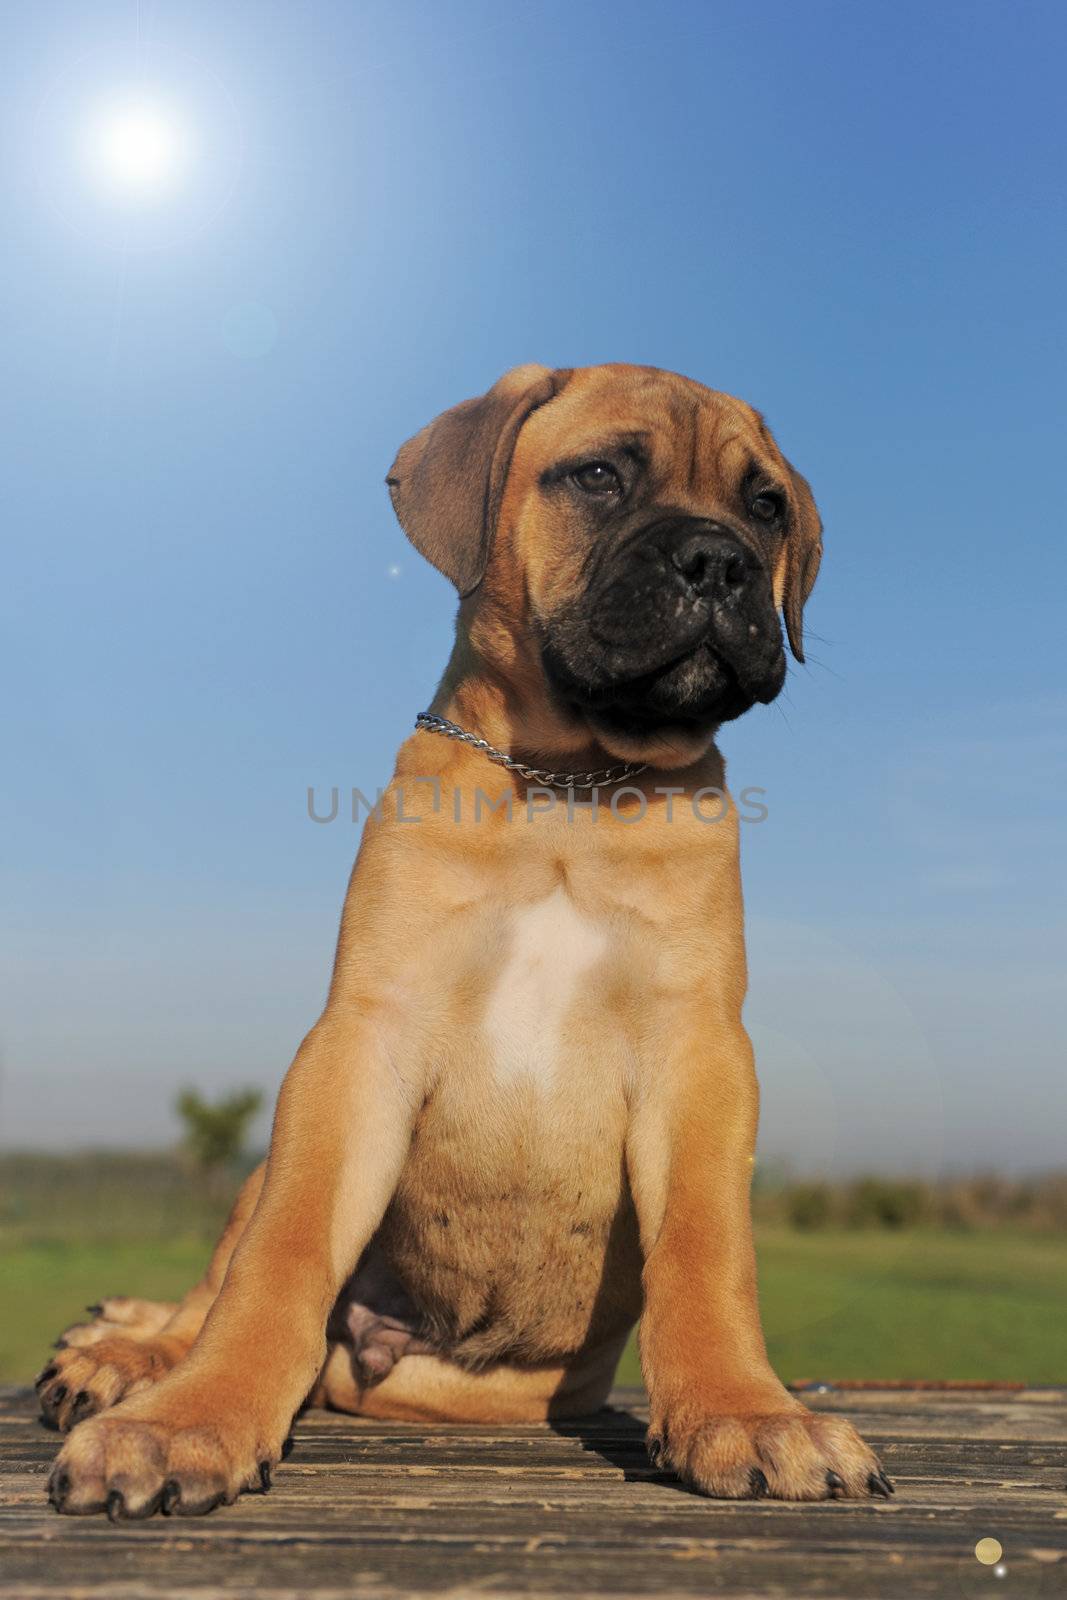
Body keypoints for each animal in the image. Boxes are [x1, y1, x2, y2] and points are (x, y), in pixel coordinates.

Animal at [39, 360, 895, 1510]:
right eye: (597, 475)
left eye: (764, 506)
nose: (718, 561)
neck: (570, 783)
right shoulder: (359, 1039)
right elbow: (280, 1254)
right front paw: (188, 1420)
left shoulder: (701, 1052)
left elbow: (706, 1248)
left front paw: (745, 1410)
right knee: (217, 1280)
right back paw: (128, 1353)